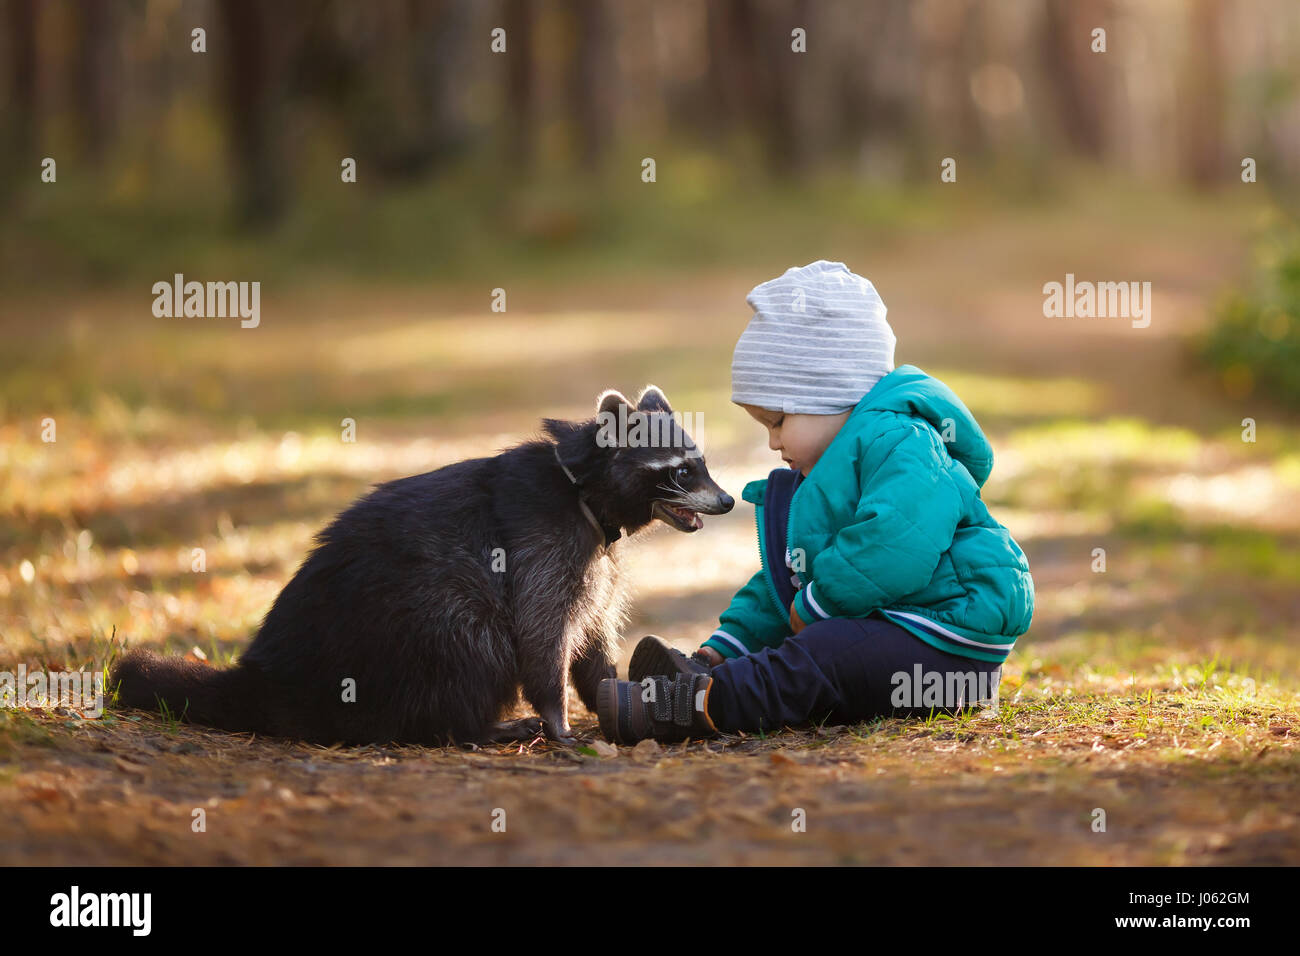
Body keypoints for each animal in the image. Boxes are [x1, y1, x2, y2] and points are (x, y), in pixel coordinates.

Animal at [109, 387, 733, 749]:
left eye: (700, 463)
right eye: (681, 471)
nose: (728, 501)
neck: (583, 489)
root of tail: (276, 673)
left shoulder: (596, 564)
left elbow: (592, 635)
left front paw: (611, 695)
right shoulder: (540, 545)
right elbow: (541, 633)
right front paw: (559, 716)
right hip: (412, 625)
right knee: (471, 639)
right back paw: (467, 727)